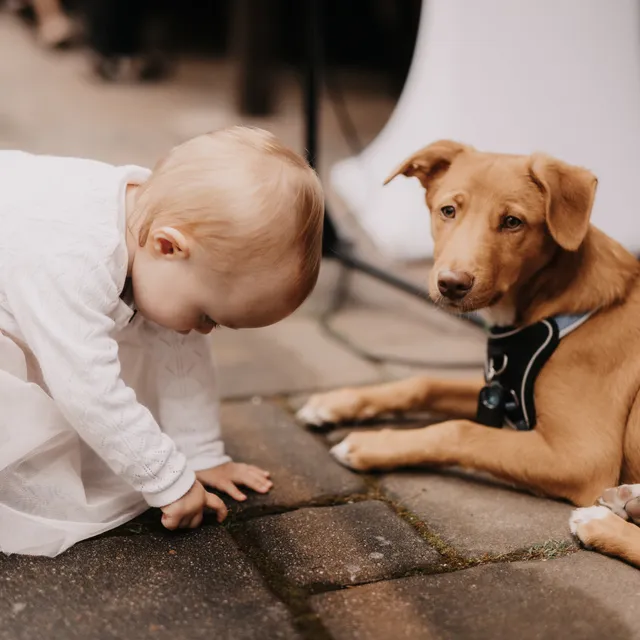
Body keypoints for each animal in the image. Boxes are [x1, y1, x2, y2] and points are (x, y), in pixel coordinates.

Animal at [298, 140, 640, 567]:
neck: (549, 306)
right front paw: (334, 402)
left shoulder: (580, 456)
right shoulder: (496, 390)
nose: (451, 284)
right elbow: (423, 381)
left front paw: (368, 444)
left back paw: (601, 522)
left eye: (512, 222)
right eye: (448, 210)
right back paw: (628, 500)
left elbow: (458, 430)